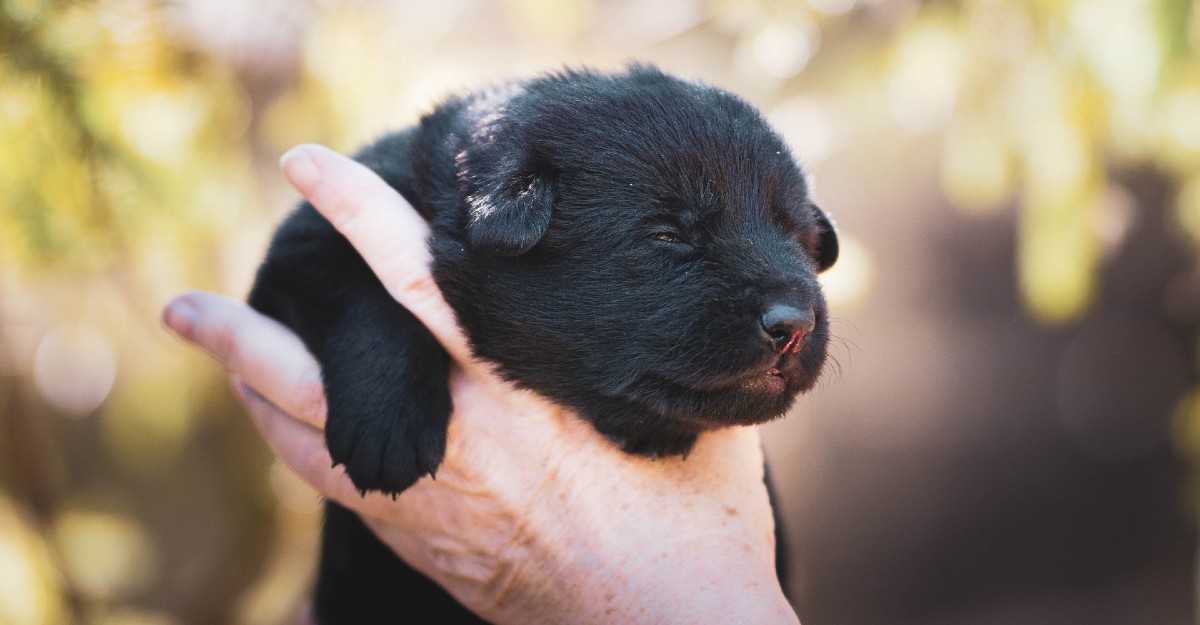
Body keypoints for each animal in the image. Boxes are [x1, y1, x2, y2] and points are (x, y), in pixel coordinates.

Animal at [249, 65, 840, 619]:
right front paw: (389, 427)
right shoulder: (304, 241)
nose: (796, 324)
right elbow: (362, 286)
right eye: (668, 235)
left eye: (797, 235)